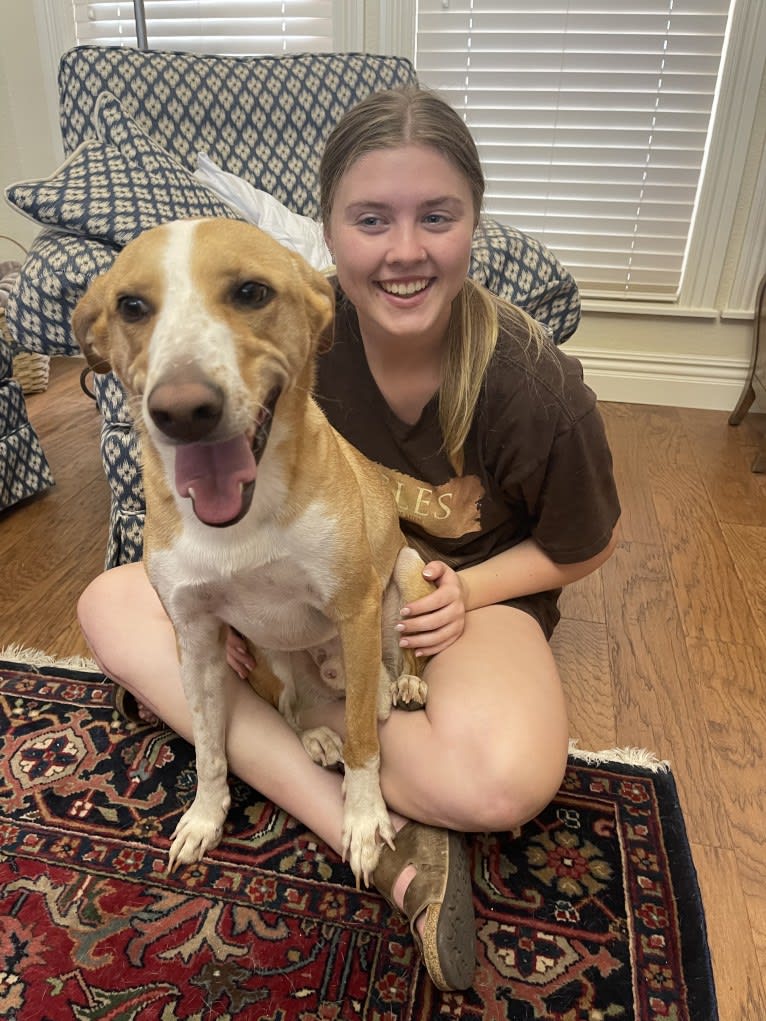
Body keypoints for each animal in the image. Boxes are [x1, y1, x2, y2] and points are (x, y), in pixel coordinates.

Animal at [74, 217, 435, 886]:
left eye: (251, 293)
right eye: (131, 306)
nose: (183, 410)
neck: (239, 521)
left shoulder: (355, 606)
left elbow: (364, 748)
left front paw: (363, 819)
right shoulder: (195, 639)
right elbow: (210, 748)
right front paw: (204, 817)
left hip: (405, 578)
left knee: (387, 679)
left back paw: (395, 689)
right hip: (272, 660)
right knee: (294, 709)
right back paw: (319, 735)